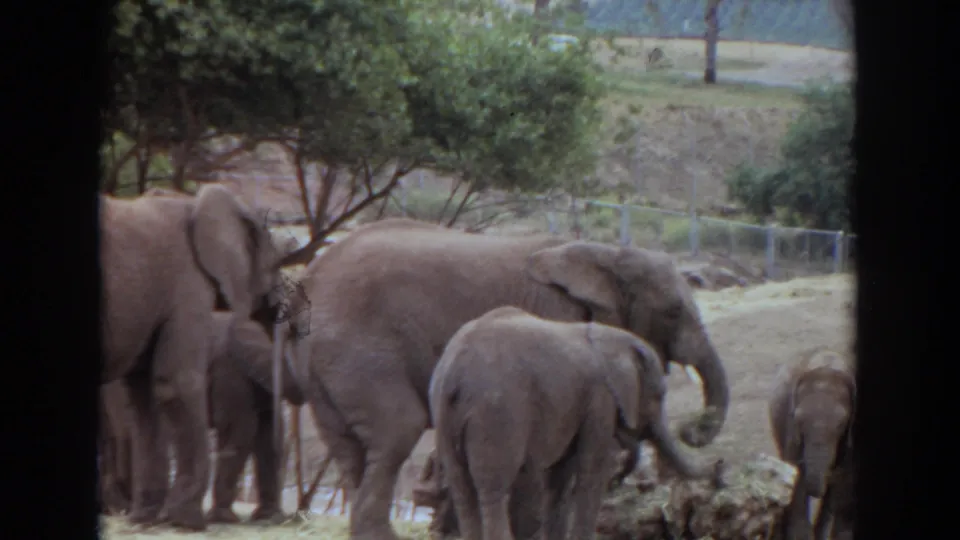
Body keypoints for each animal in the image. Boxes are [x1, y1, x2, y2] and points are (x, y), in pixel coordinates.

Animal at [100, 184, 287, 530]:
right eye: (277, 265)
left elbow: (144, 397)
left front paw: (148, 521)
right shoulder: (187, 284)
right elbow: (176, 383)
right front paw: (188, 522)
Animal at [428, 307, 721, 540]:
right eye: (659, 396)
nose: (720, 470)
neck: (612, 337)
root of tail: (454, 373)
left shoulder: (578, 407)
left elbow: (559, 476)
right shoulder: (600, 399)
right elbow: (592, 470)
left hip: (445, 415)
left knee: (463, 491)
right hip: (496, 413)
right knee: (493, 491)